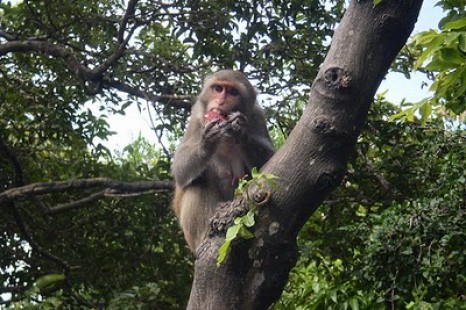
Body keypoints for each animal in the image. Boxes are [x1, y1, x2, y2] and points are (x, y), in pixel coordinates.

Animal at [171, 70, 274, 254]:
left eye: (232, 92)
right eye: (218, 89)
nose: (220, 101)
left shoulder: (257, 117)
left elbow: (270, 161)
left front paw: (241, 131)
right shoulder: (197, 116)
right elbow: (180, 169)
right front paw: (208, 142)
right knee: (197, 184)